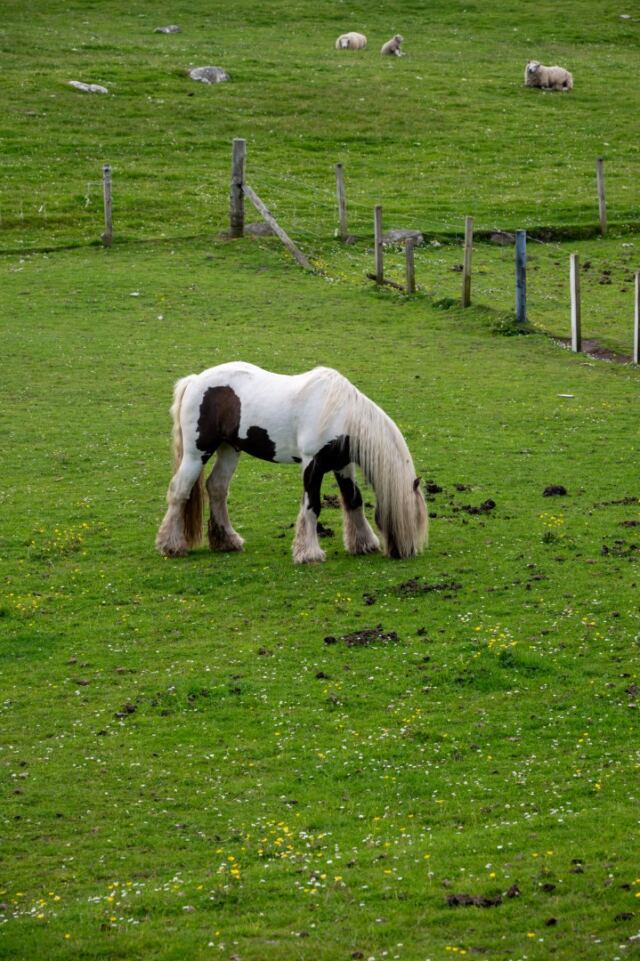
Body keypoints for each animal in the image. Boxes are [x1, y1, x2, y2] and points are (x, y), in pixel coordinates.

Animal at [155, 362, 428, 564]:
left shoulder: (342, 464)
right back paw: (171, 546)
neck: (341, 413)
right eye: (409, 517)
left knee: (217, 488)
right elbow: (312, 506)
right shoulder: (312, 464)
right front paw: (308, 553)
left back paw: (227, 541)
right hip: (196, 453)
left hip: (229, 449)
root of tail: (194, 380)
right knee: (179, 491)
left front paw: (363, 544)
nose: (406, 552)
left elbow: (353, 500)